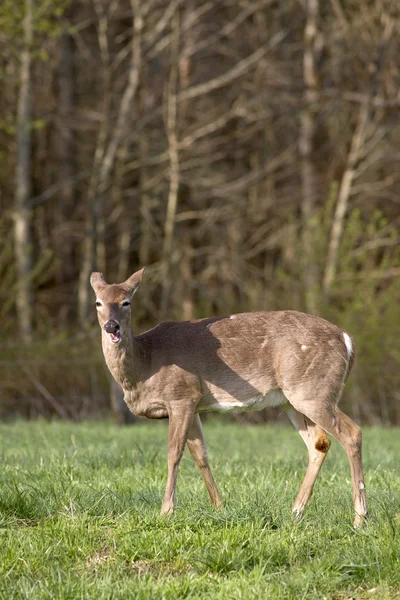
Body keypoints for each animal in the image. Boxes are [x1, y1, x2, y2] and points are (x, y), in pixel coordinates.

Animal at [90, 268, 368, 524]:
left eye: (126, 302)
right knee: (319, 442)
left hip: (314, 391)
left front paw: (166, 511)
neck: (145, 365)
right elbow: (201, 455)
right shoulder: (195, 403)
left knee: (352, 433)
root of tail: (347, 339)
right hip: (293, 399)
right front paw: (219, 507)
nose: (111, 326)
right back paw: (296, 512)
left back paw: (360, 517)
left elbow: (174, 452)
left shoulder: (181, 394)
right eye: (98, 302)